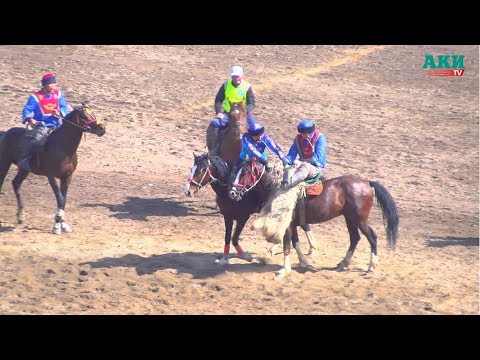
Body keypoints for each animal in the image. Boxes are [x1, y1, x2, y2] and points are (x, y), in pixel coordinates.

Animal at [0, 102, 106, 235]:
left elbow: (63, 200)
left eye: (93, 113)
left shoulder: (67, 177)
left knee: (16, 183)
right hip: (4, 163)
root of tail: (4, 133)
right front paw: (56, 225)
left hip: (24, 169)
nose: (102, 129)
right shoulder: (51, 176)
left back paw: (20, 216)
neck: (63, 148)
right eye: (84, 116)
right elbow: (60, 199)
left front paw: (62, 224)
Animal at [183, 153, 316, 262]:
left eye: (202, 170)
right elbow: (227, 237)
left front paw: (245, 256)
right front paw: (224, 258)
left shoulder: (243, 217)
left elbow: (234, 238)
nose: (187, 191)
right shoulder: (227, 216)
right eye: (192, 169)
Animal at [231, 159, 400, 278]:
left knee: (372, 237)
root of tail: (367, 183)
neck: (277, 189)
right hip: (350, 219)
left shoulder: (288, 225)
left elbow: (287, 245)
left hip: (360, 220)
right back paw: (343, 264)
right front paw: (303, 262)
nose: (232, 192)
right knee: (354, 238)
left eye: (245, 172)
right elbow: (296, 242)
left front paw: (284, 269)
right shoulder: (293, 225)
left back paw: (371, 267)